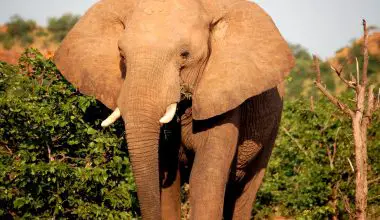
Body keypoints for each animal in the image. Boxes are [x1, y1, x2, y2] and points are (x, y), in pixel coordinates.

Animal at [53, 0, 296, 219]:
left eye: (185, 54)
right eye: (121, 55)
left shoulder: (225, 97)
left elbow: (205, 177)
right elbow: (168, 177)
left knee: (245, 190)